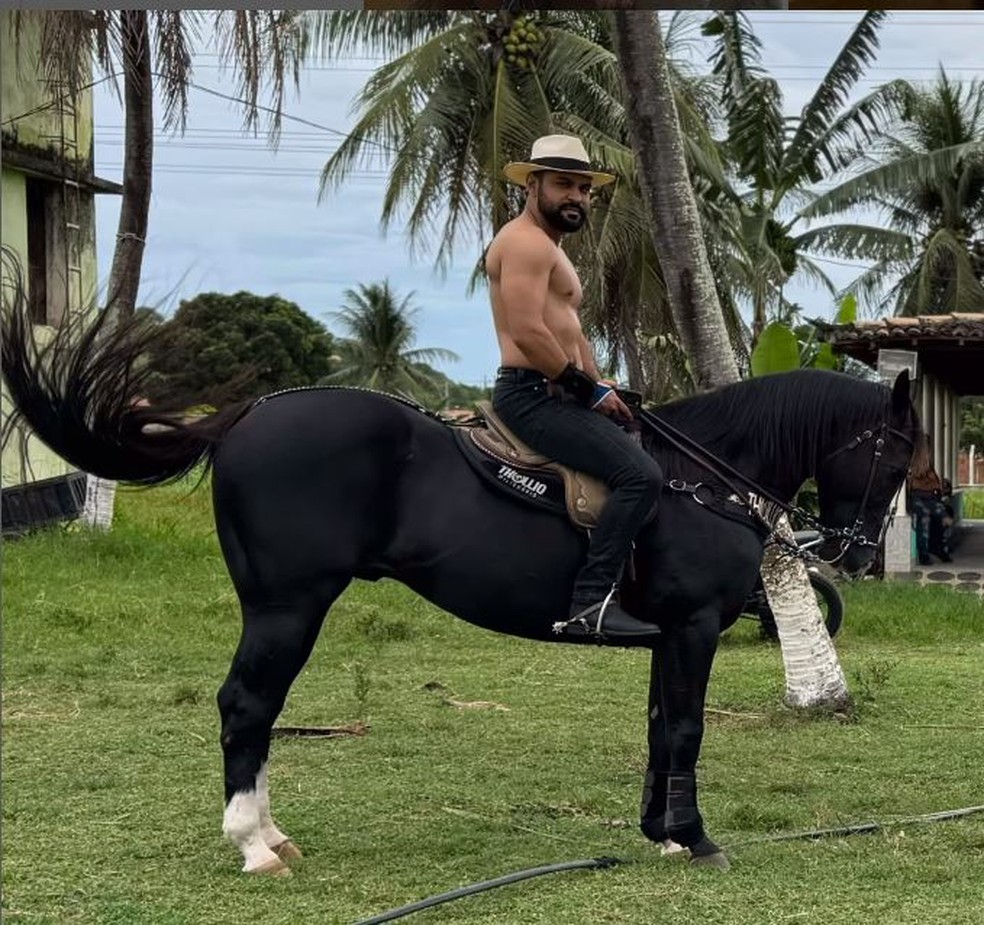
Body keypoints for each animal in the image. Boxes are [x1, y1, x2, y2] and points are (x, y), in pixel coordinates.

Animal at [1, 290, 924, 872]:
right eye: (896, 454)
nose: (857, 552)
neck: (699, 477)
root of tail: (245, 416)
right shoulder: (695, 626)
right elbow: (690, 730)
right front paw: (696, 839)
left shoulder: (669, 634)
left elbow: (663, 728)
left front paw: (659, 832)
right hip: (288, 605)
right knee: (247, 705)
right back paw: (255, 843)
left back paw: (270, 834)